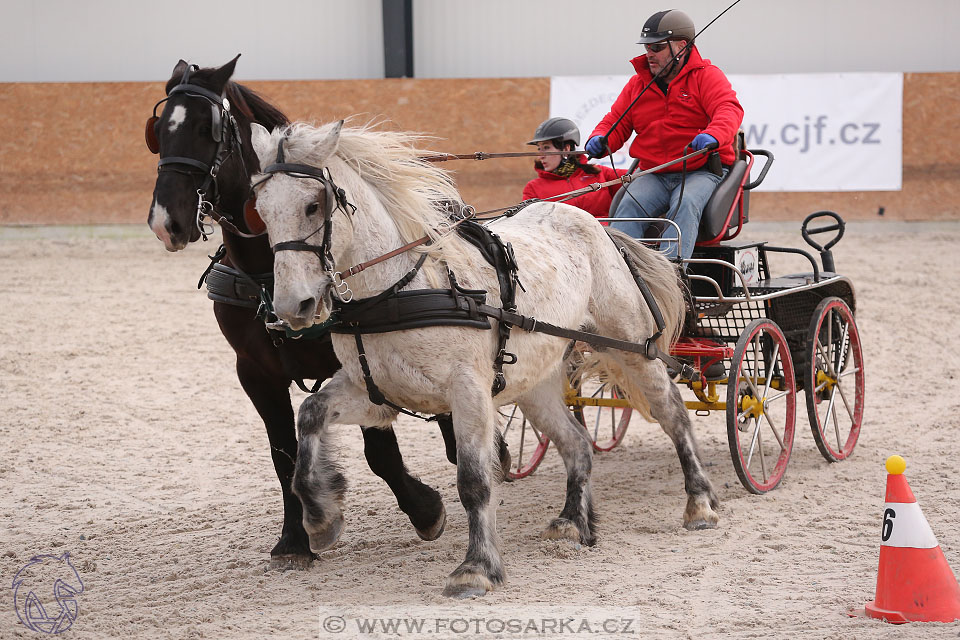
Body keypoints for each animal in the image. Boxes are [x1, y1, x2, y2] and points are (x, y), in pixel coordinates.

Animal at [142, 55, 480, 564]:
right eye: (159, 132)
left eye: (207, 129)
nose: (168, 222)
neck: (266, 274)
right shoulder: (254, 373)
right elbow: (283, 454)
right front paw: (295, 537)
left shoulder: (360, 360)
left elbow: (380, 452)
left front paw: (424, 510)